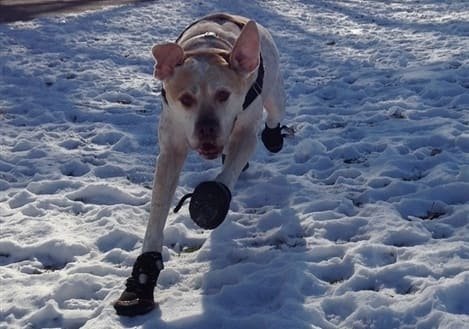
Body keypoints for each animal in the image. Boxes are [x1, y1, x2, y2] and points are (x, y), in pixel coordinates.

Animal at [115, 13, 288, 316]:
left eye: (224, 94)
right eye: (186, 99)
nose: (207, 129)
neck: (208, 49)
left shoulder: (245, 132)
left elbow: (228, 172)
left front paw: (210, 199)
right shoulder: (171, 147)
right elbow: (157, 212)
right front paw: (142, 281)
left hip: (274, 95)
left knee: (274, 114)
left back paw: (273, 136)